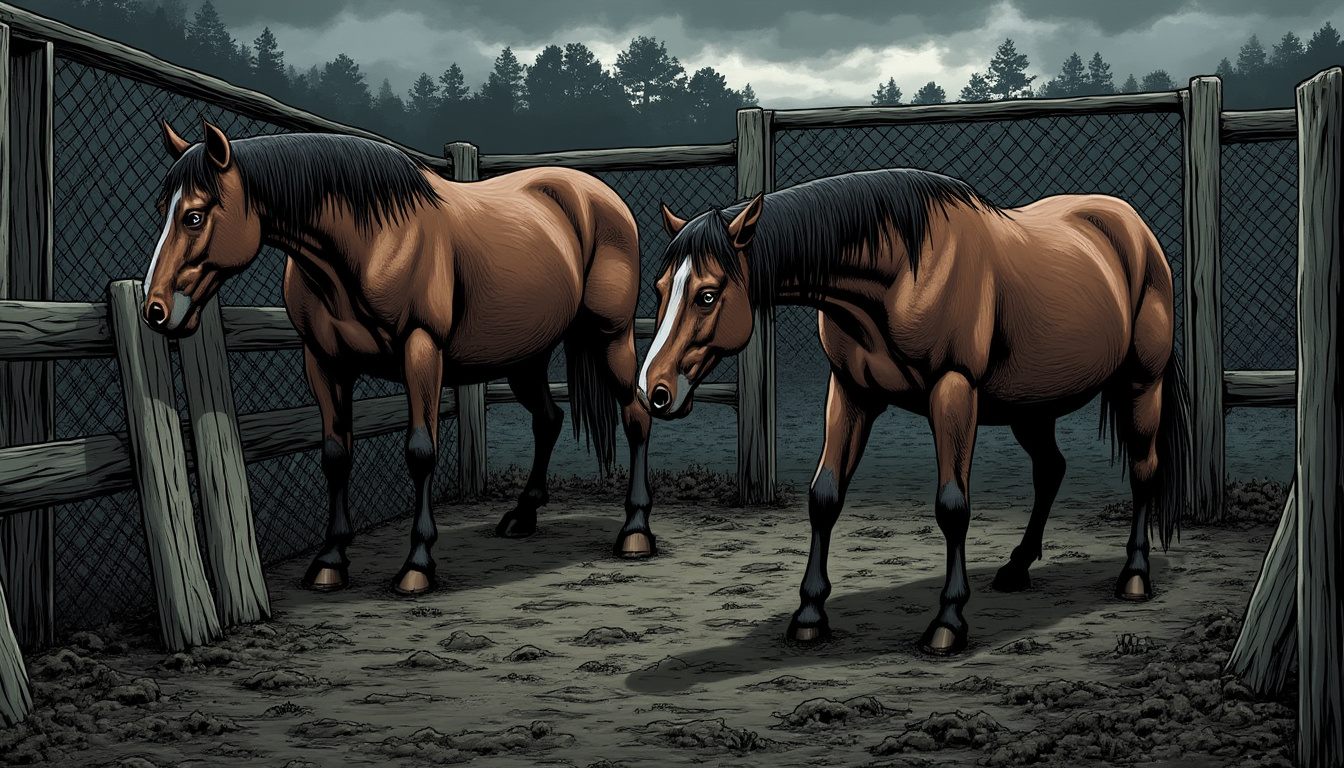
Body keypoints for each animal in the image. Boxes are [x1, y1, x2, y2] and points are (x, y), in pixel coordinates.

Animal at [142, 120, 659, 596]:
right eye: (162, 211)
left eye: (194, 216)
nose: (156, 310)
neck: (370, 242)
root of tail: (597, 195)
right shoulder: (324, 362)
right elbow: (335, 455)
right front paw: (330, 561)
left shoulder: (421, 350)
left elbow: (420, 452)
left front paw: (417, 565)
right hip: (525, 357)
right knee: (548, 420)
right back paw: (523, 515)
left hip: (611, 338)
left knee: (635, 415)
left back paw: (635, 532)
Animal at [639, 168, 1190, 655]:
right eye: (661, 289)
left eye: (707, 294)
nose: (654, 390)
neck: (904, 271)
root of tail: (1135, 228)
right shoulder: (850, 392)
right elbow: (825, 497)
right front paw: (810, 616)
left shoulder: (953, 390)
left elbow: (952, 506)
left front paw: (947, 623)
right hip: (1031, 407)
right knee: (1051, 470)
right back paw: (1016, 568)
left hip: (1141, 386)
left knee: (1144, 470)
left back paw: (1134, 577)